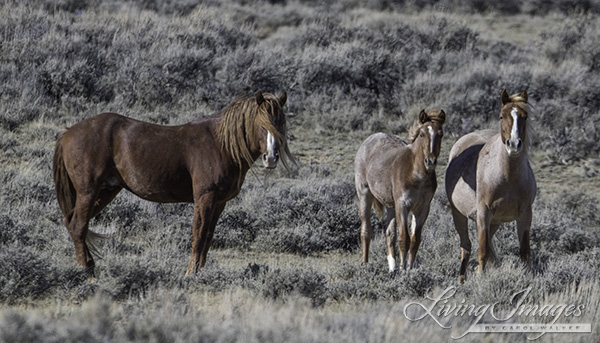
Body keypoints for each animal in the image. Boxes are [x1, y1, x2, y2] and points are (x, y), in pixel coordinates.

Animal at [54, 91, 292, 276]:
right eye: (261, 123)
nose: (271, 158)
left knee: (73, 222)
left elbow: (208, 238)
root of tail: (67, 132)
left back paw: (90, 266)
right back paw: (86, 272)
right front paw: (189, 274)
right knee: (78, 225)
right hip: (89, 191)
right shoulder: (205, 197)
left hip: (106, 191)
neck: (220, 144)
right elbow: (198, 236)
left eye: (280, 122)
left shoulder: (219, 202)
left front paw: (199, 273)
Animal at [356, 109, 446, 274]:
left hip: (390, 205)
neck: (416, 174)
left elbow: (415, 240)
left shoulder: (422, 208)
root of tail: (370, 139)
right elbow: (404, 238)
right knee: (366, 231)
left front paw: (409, 269)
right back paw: (366, 265)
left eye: (440, 134)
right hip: (364, 195)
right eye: (422, 134)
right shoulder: (402, 205)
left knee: (389, 234)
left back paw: (392, 269)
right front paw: (404, 270)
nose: (430, 161)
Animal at [446, 89, 536, 284]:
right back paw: (461, 280)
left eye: (524, 117)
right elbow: (482, 251)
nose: (514, 144)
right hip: (460, 215)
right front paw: (480, 278)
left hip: (495, 222)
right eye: (502, 116)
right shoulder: (484, 213)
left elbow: (524, 252)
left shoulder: (525, 214)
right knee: (466, 246)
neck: (507, 177)